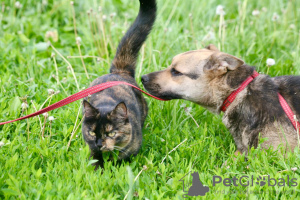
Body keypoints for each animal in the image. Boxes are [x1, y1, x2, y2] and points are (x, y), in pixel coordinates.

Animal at [82, 0, 157, 170]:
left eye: (111, 134)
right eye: (91, 133)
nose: (99, 144)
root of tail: (119, 71)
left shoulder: (132, 148)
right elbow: (94, 160)